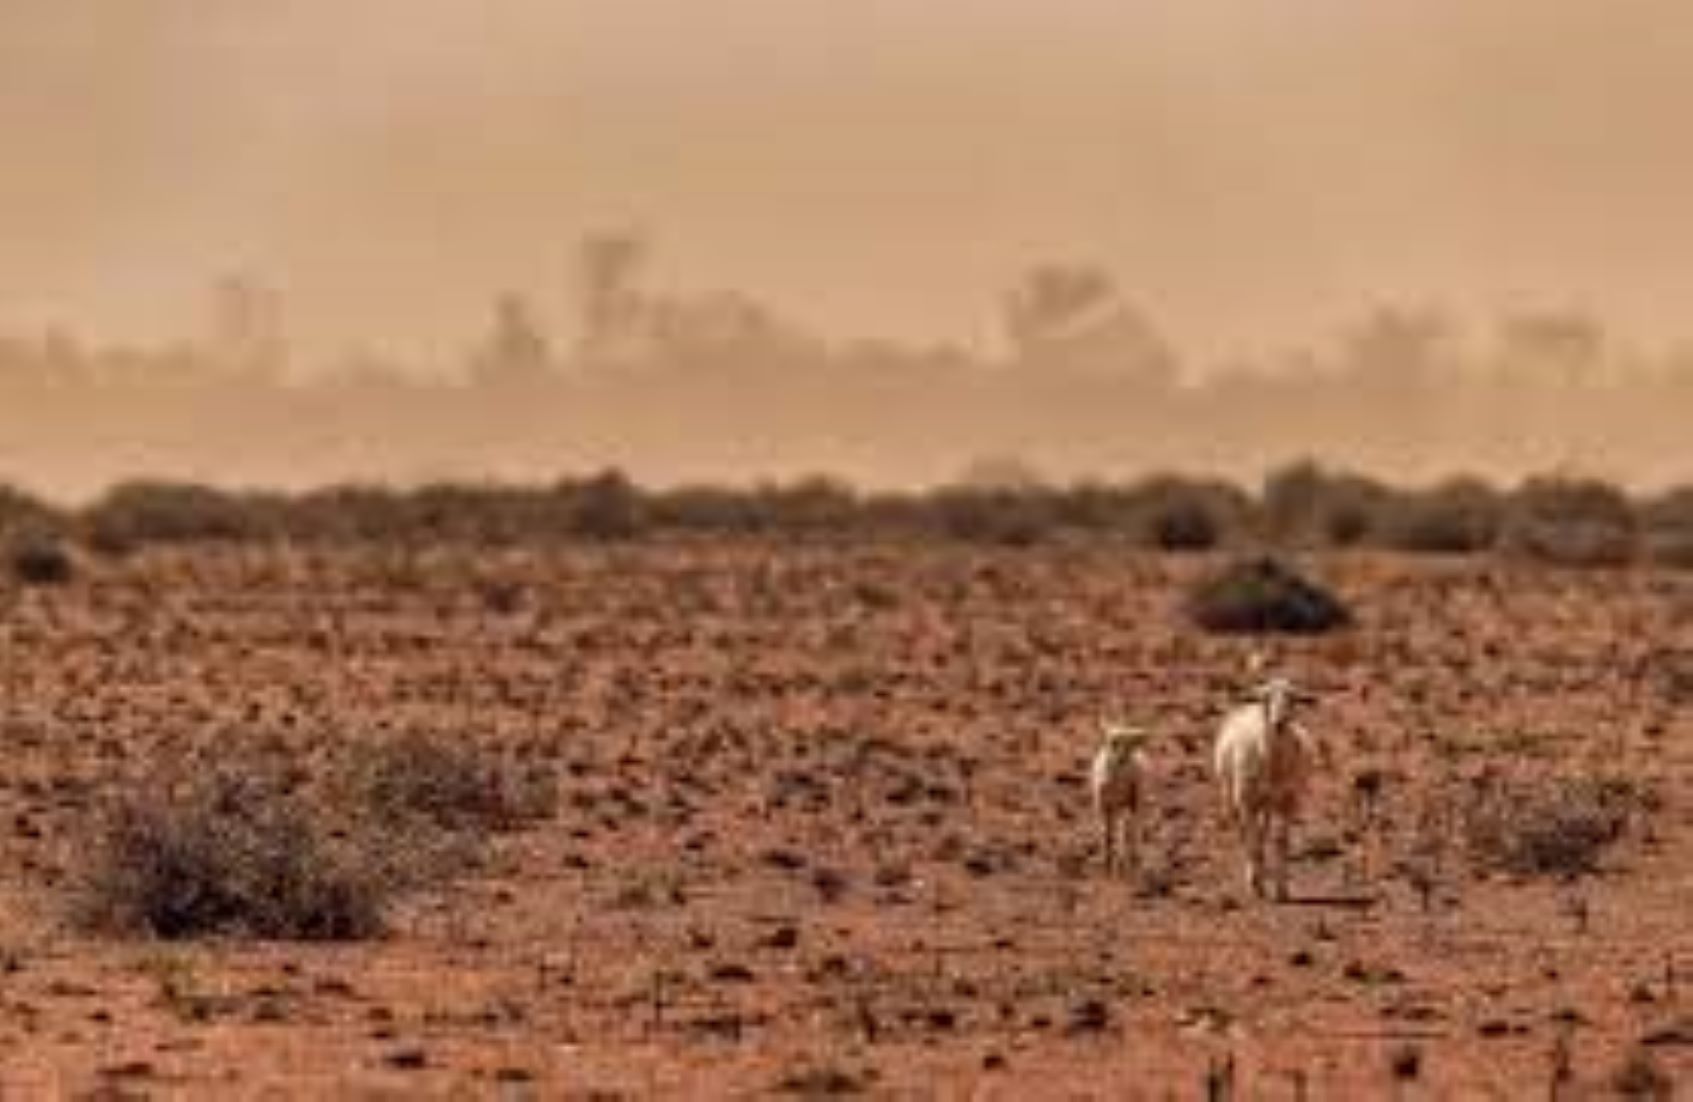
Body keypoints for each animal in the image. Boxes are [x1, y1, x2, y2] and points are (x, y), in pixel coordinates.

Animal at [1097, 724, 1151, 880]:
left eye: (1131, 745)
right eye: (1113, 742)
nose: (1121, 758)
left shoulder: (1132, 800)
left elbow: (1128, 833)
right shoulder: (1102, 805)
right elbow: (1106, 834)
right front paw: (1106, 864)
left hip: (1135, 802)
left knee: (1133, 830)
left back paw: (1131, 860)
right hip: (1119, 807)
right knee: (1121, 828)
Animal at [1218, 677, 1320, 900]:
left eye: (1293, 699)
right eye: (1266, 699)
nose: (1279, 723)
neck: (1272, 763)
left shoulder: (1288, 800)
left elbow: (1281, 842)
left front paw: (1281, 888)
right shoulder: (1246, 801)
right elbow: (1252, 840)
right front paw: (1256, 884)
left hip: (1267, 804)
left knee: (1262, 831)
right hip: (1232, 797)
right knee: (1244, 833)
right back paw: (1253, 874)